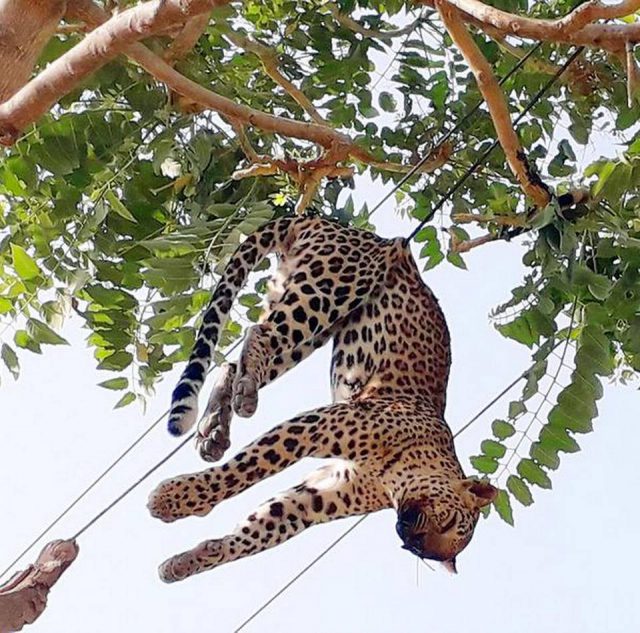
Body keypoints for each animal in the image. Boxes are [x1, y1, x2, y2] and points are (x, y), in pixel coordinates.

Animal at [148, 215, 497, 583]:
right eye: (449, 521)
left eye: (422, 553)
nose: (406, 536)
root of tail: (327, 222)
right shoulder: (316, 426)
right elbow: (245, 470)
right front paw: (172, 499)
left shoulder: (317, 496)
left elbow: (254, 532)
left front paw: (187, 561)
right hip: (326, 293)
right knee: (260, 333)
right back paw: (242, 400)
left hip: (303, 319)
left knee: (234, 360)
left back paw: (218, 423)